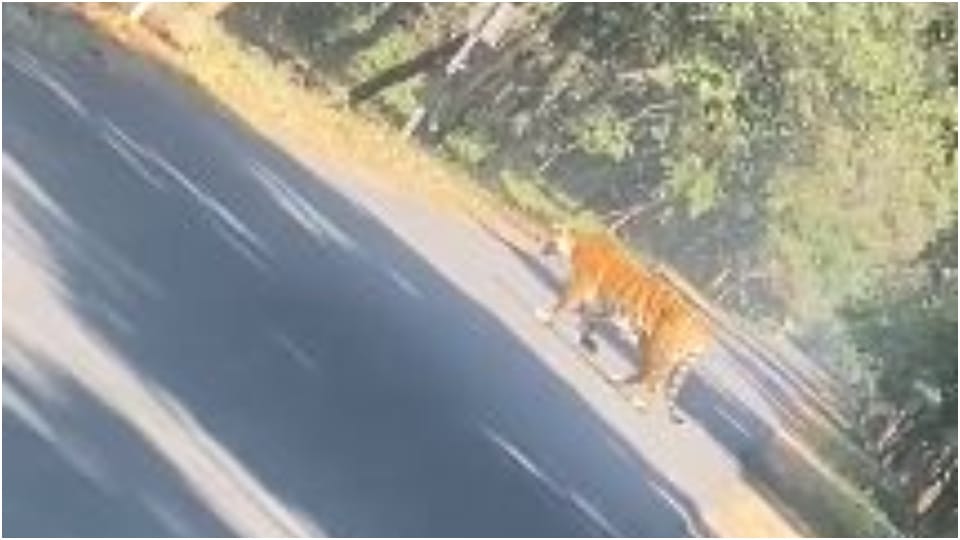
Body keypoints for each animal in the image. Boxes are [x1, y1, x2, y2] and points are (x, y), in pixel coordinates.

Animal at [536, 224, 712, 423]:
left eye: (549, 234)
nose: (539, 238)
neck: (577, 243)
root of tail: (704, 334)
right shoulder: (604, 306)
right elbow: (589, 319)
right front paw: (587, 342)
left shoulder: (579, 287)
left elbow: (562, 305)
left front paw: (544, 317)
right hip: (648, 344)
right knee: (644, 374)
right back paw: (616, 379)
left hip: (658, 351)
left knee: (653, 381)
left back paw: (639, 402)